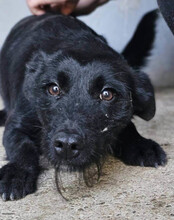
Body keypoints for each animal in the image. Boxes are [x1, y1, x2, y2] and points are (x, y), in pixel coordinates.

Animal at [0, 12, 167, 201]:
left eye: (107, 94)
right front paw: (16, 172)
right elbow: (22, 147)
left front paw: (141, 145)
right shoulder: (16, 126)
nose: (66, 145)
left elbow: (128, 126)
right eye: (54, 89)